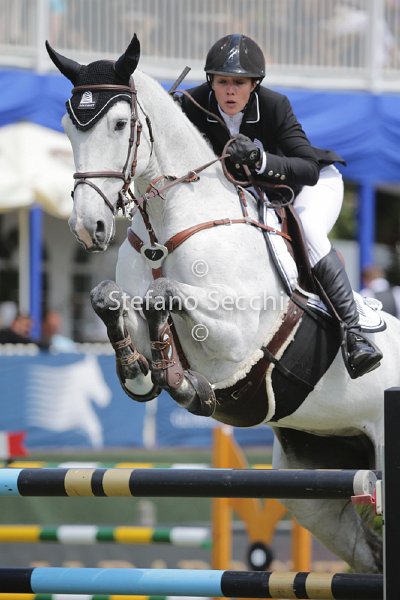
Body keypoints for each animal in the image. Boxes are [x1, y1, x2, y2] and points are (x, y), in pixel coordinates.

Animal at [46, 34, 400, 573]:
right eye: (69, 127)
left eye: (120, 125)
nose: (90, 228)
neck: (168, 227)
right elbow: (111, 301)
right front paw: (142, 373)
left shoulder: (235, 342)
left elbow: (164, 297)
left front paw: (186, 385)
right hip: (313, 480)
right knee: (366, 553)